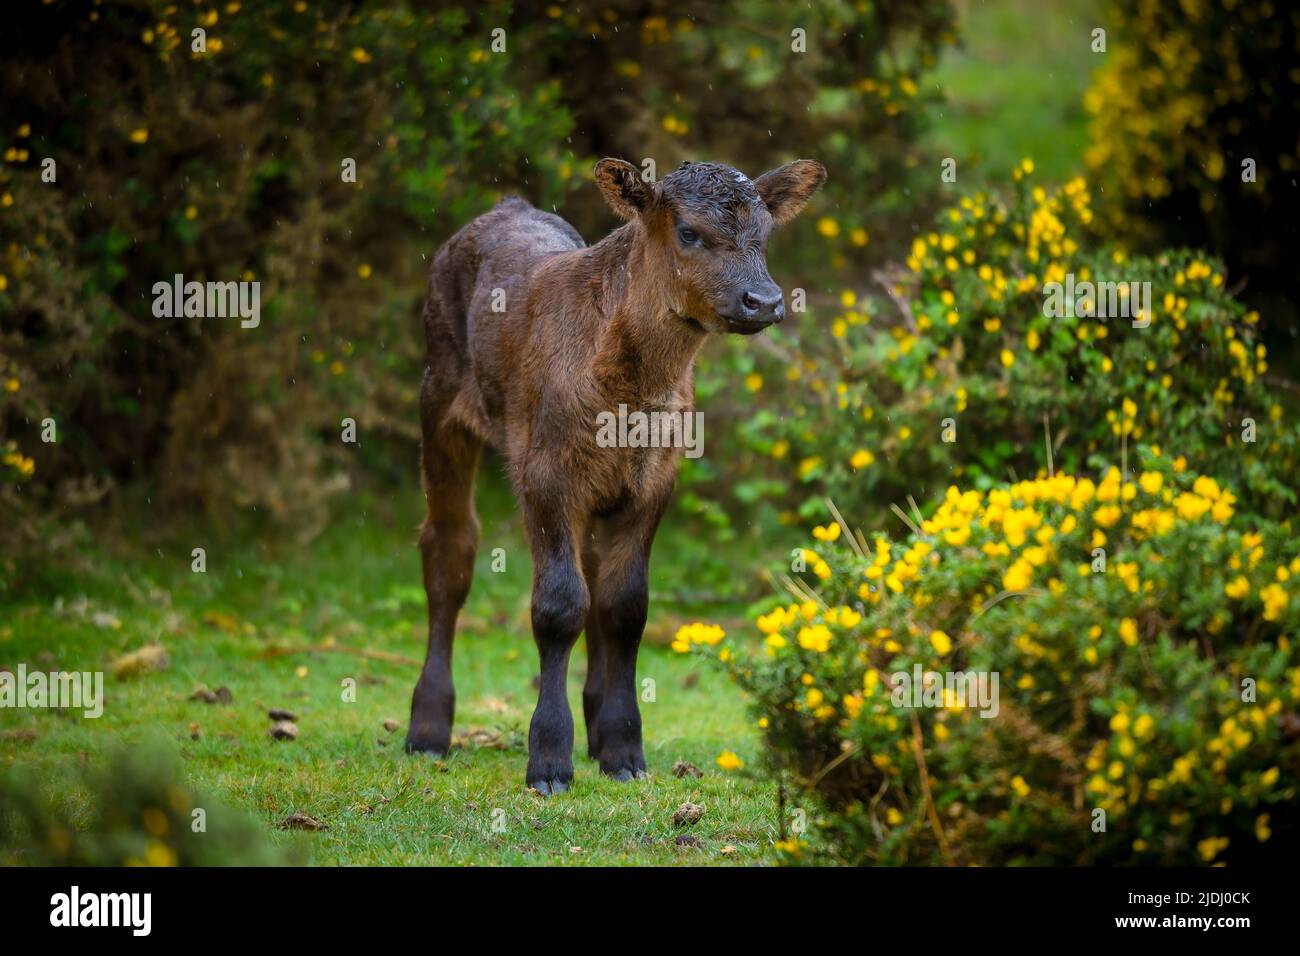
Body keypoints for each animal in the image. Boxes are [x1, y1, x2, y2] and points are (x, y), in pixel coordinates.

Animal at [408, 157, 821, 790]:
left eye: (767, 233)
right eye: (689, 232)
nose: (765, 300)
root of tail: (503, 208)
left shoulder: (654, 479)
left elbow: (624, 607)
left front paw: (624, 750)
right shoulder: (545, 474)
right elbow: (558, 606)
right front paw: (549, 761)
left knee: (593, 572)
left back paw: (597, 726)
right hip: (440, 398)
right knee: (450, 551)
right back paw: (428, 731)